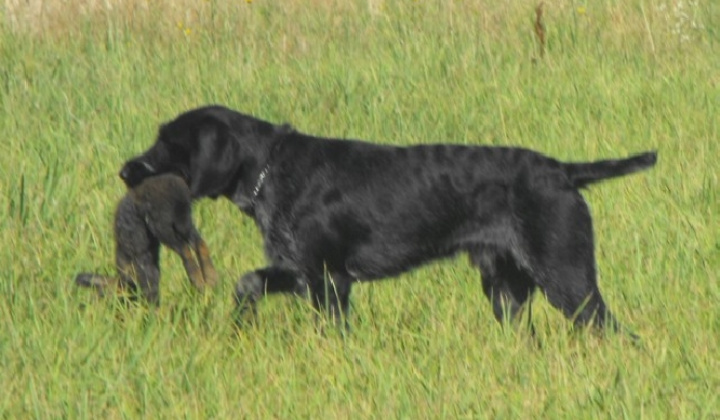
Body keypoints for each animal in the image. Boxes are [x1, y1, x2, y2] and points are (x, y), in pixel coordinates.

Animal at [76, 172, 217, 304]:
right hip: (182, 222)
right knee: (198, 242)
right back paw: (209, 278)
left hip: (161, 225)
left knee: (184, 248)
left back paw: (198, 279)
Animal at [119, 106, 660, 334]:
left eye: (168, 142)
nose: (125, 170)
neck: (271, 169)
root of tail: (564, 172)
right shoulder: (301, 272)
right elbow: (248, 282)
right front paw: (239, 325)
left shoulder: (329, 280)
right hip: (506, 290)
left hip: (567, 280)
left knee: (614, 330)